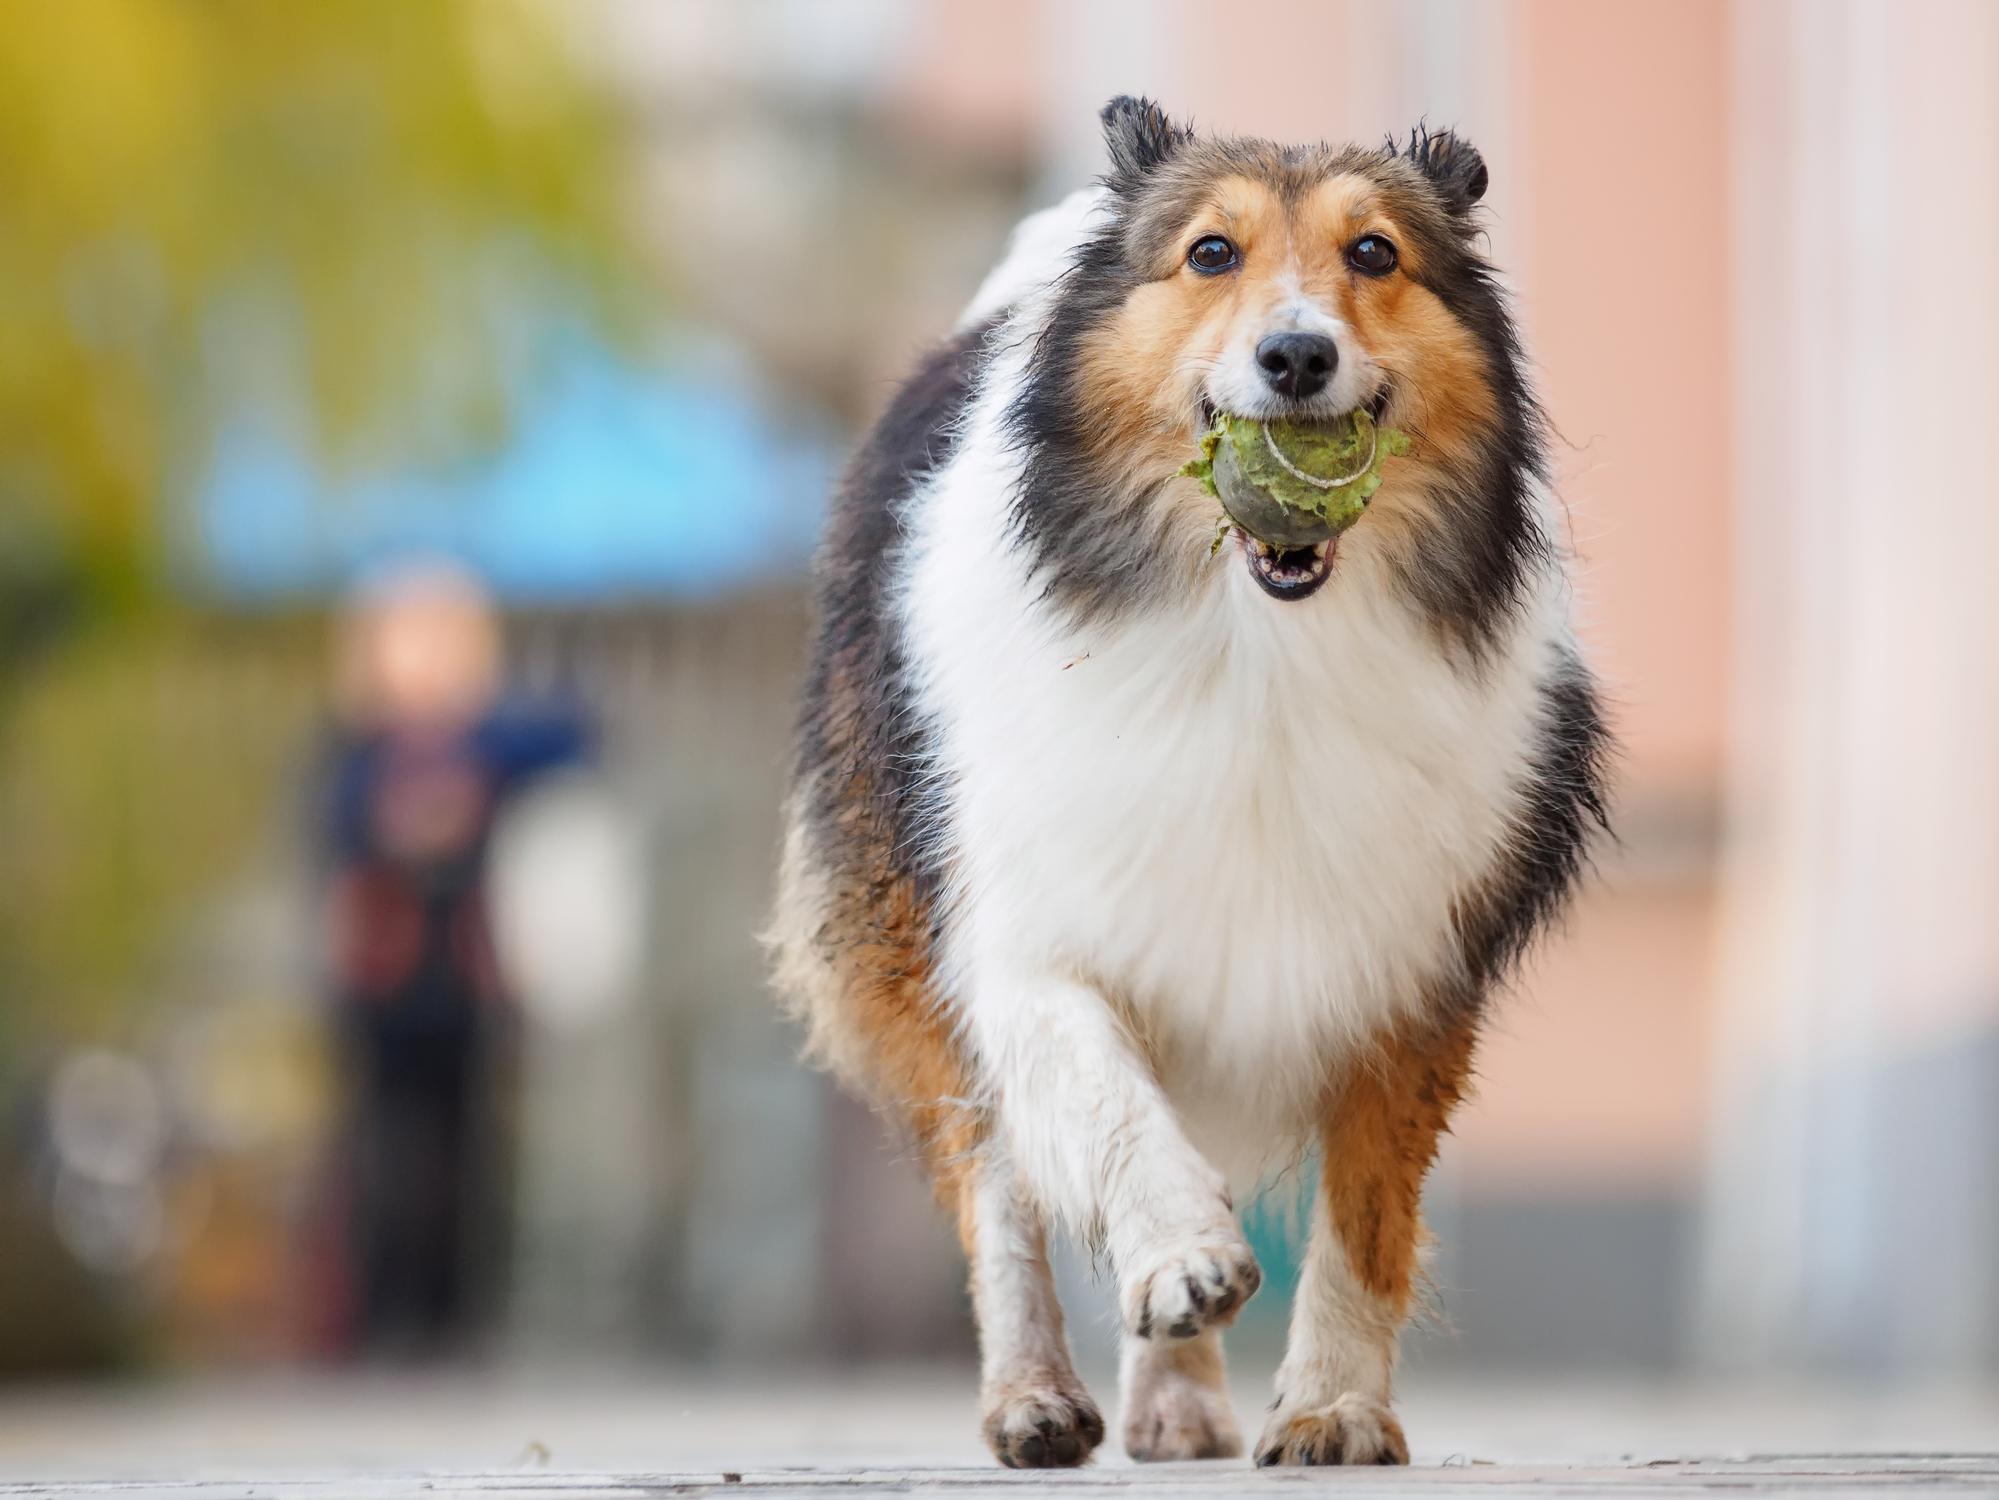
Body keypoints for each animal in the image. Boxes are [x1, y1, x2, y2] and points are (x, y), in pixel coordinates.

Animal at [763, 100, 1607, 1472]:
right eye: (1211, 253)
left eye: (1374, 254)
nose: (1296, 355)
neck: (1258, 643)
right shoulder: (1021, 927)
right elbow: (1100, 1104)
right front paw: (1185, 1256)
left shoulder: (1405, 959)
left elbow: (1368, 1209)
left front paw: (1329, 1407)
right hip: (909, 926)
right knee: (996, 1181)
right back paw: (1038, 1399)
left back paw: (1173, 1402)